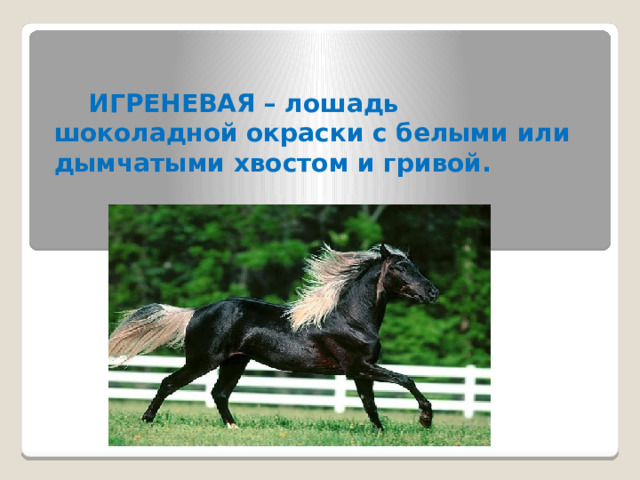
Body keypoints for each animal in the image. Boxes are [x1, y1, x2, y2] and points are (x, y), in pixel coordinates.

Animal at [108, 243, 439, 431]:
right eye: (401, 267)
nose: (433, 292)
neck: (351, 318)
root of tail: (196, 312)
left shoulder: (361, 371)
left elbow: (369, 404)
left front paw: (381, 433)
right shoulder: (358, 366)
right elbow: (406, 380)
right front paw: (425, 420)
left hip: (235, 362)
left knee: (219, 393)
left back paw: (234, 428)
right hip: (204, 360)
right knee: (169, 383)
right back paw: (146, 421)